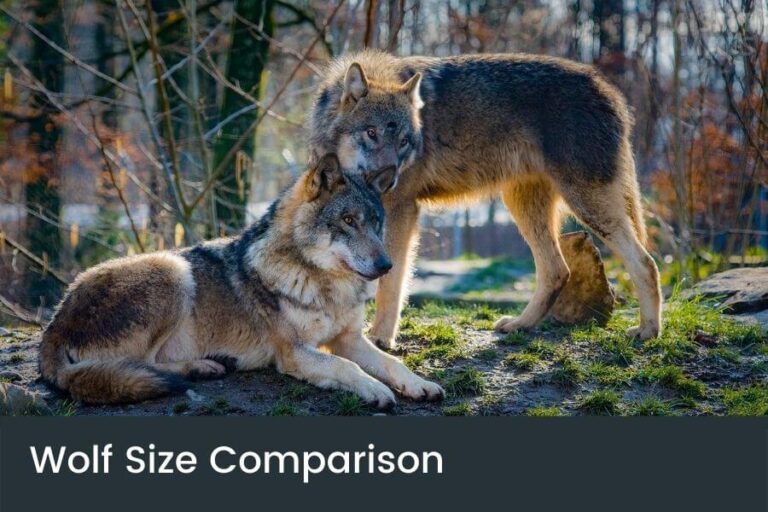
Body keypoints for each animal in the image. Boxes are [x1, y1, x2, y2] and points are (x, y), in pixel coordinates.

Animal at [39, 154, 444, 407]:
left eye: (376, 223)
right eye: (347, 221)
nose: (386, 265)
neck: (325, 285)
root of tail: (54, 323)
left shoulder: (348, 339)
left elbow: (391, 363)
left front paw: (419, 384)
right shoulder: (293, 352)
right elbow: (348, 368)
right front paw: (375, 390)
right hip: (173, 270)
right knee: (142, 365)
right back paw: (202, 367)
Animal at [308, 50, 662, 349]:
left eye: (405, 142)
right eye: (371, 133)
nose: (389, 178)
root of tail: (611, 91)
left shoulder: (401, 210)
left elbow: (391, 280)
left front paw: (380, 338)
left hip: (587, 206)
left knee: (645, 262)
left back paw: (648, 331)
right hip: (524, 206)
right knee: (557, 270)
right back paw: (520, 325)